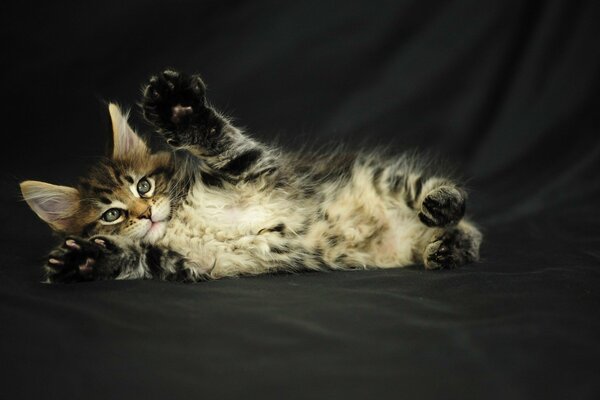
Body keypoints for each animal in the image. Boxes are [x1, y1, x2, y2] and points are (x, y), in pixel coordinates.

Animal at [19, 69, 482, 282]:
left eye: (143, 185)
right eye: (112, 214)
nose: (146, 212)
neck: (182, 218)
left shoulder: (256, 169)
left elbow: (219, 137)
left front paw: (176, 106)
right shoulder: (192, 262)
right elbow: (137, 258)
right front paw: (84, 261)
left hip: (385, 179)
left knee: (456, 210)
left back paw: (443, 212)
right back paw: (446, 248)